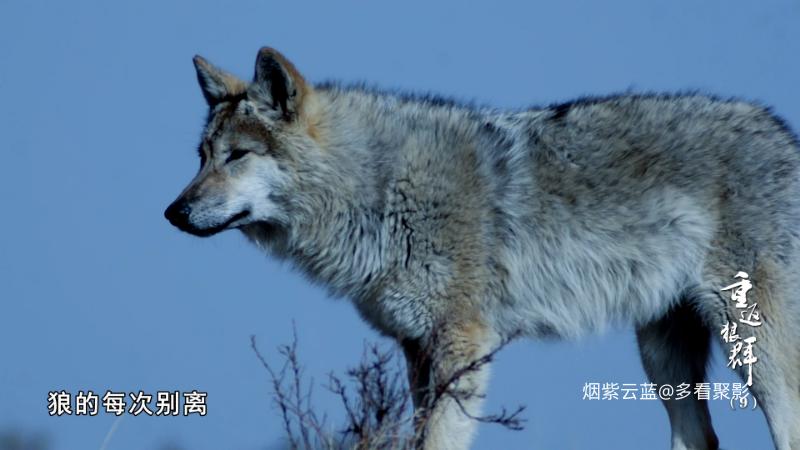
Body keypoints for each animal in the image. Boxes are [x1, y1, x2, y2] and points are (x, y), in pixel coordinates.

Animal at [165, 47, 800, 450]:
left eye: (237, 157)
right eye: (201, 157)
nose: (173, 213)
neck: (378, 189)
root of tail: (782, 132)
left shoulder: (462, 344)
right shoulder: (417, 350)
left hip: (751, 344)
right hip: (661, 354)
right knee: (700, 437)